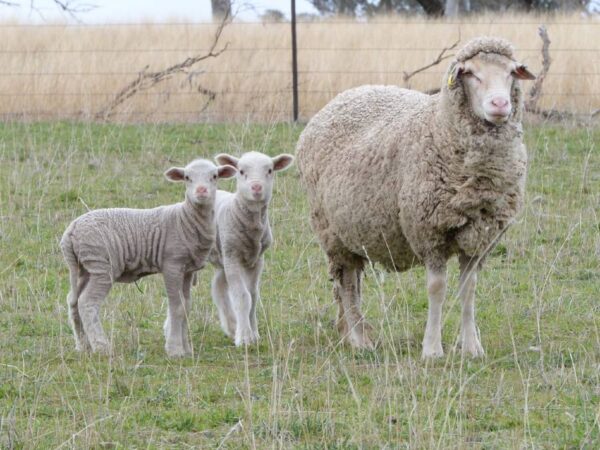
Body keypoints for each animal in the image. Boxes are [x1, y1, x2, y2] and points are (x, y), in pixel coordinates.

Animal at [59, 160, 237, 356]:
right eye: (187, 178)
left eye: (214, 176)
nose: (201, 191)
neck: (185, 219)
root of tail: (71, 230)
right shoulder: (172, 265)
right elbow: (176, 307)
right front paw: (174, 350)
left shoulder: (187, 270)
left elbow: (186, 307)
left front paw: (186, 350)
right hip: (100, 265)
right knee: (87, 302)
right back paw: (102, 347)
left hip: (84, 267)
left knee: (73, 301)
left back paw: (83, 346)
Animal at [207, 150, 294, 344]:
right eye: (241, 171)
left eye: (269, 170)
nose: (256, 187)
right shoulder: (233, 257)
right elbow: (242, 296)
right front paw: (245, 337)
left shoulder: (256, 260)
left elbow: (253, 296)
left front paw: (253, 333)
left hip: (222, 258)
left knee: (218, 287)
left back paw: (231, 326)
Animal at [296, 36, 536, 358]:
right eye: (470, 73)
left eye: (511, 72)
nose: (500, 104)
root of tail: (344, 96)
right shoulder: (429, 232)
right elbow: (437, 288)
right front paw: (432, 349)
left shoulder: (479, 238)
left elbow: (469, 289)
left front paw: (472, 347)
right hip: (330, 231)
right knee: (346, 282)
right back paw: (359, 339)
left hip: (353, 229)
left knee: (352, 280)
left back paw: (352, 333)